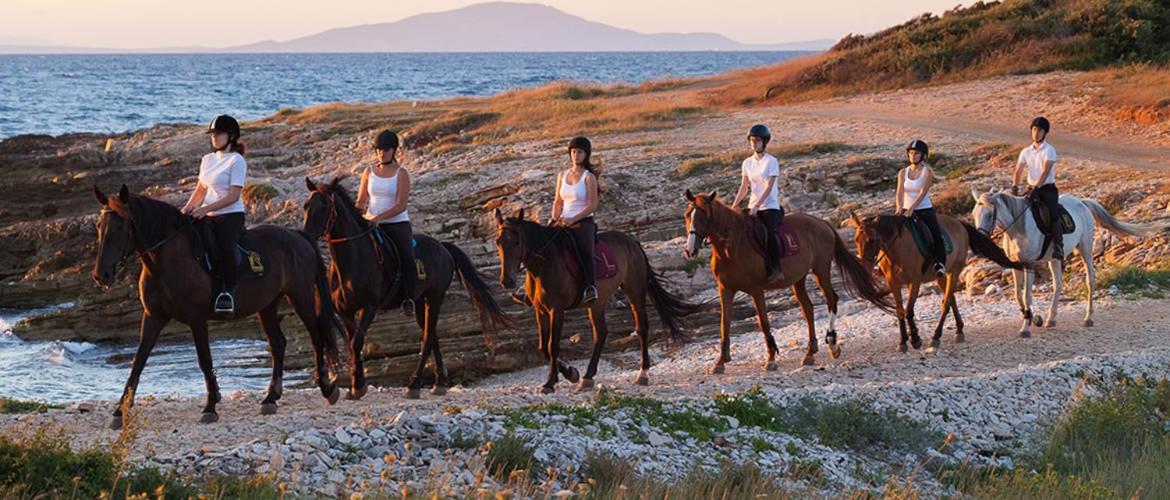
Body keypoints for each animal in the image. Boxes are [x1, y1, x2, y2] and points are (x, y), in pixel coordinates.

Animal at [91, 186, 341, 428]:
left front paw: (210, 406)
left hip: (300, 297)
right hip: (268, 304)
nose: (101, 275)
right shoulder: (153, 317)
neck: (165, 261)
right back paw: (271, 398)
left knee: (316, 336)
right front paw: (119, 411)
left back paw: (327, 388)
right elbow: (138, 361)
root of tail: (298, 236)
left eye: (121, 226)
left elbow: (205, 360)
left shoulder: (196, 319)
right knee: (278, 343)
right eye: (99, 226)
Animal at [304, 177, 510, 400]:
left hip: (435, 297)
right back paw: (440, 383)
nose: (306, 236)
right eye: (306, 206)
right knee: (433, 335)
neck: (351, 261)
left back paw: (414, 384)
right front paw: (354, 384)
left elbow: (357, 342)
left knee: (427, 338)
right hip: (420, 302)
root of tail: (443, 247)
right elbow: (352, 345)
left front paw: (358, 386)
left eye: (325, 206)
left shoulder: (369, 307)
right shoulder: (345, 312)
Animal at [491, 208, 697, 395]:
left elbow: (552, 345)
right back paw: (588, 377)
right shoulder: (540, 310)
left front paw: (550, 383)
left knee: (642, 327)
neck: (543, 266)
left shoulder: (556, 310)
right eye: (498, 242)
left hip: (635, 291)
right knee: (601, 334)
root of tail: (632, 241)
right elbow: (543, 346)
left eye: (517, 241)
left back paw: (642, 374)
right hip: (596, 303)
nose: (506, 281)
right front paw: (571, 373)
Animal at [683, 189, 889, 374]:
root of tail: (822, 223)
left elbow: (763, 322)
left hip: (821, 270)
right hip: (798, 279)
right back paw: (810, 353)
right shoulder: (725, 289)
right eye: (687, 215)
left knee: (832, 299)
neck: (730, 247)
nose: (690, 249)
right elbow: (724, 325)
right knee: (808, 309)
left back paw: (832, 344)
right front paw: (720, 362)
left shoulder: (755, 289)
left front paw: (771, 359)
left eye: (703, 215)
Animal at [968, 189, 1160, 339]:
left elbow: (1026, 296)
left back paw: (1088, 318)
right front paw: (1034, 318)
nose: (979, 242)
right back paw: (1051, 319)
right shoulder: (1016, 264)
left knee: (1090, 278)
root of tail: (1082, 202)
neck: (1019, 228)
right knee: (1058, 284)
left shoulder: (1029, 264)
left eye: (990, 214)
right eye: (974, 214)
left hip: (1086, 248)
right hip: (1054, 258)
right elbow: (1017, 295)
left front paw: (1026, 328)